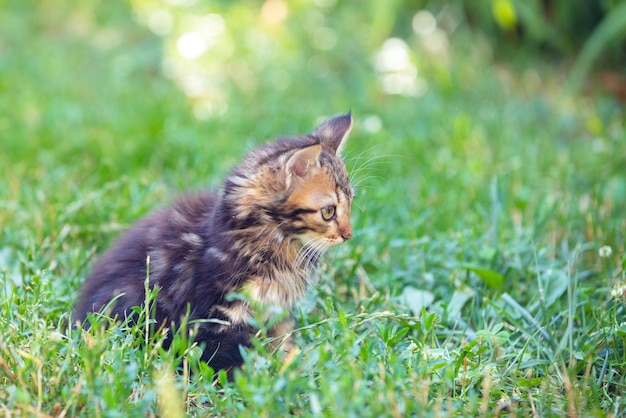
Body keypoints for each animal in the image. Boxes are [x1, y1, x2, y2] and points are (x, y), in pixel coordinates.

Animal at [74, 112, 352, 372]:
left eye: (351, 203)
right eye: (328, 212)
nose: (348, 234)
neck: (280, 246)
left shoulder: (276, 311)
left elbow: (283, 343)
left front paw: (290, 367)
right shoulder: (216, 313)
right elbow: (224, 356)